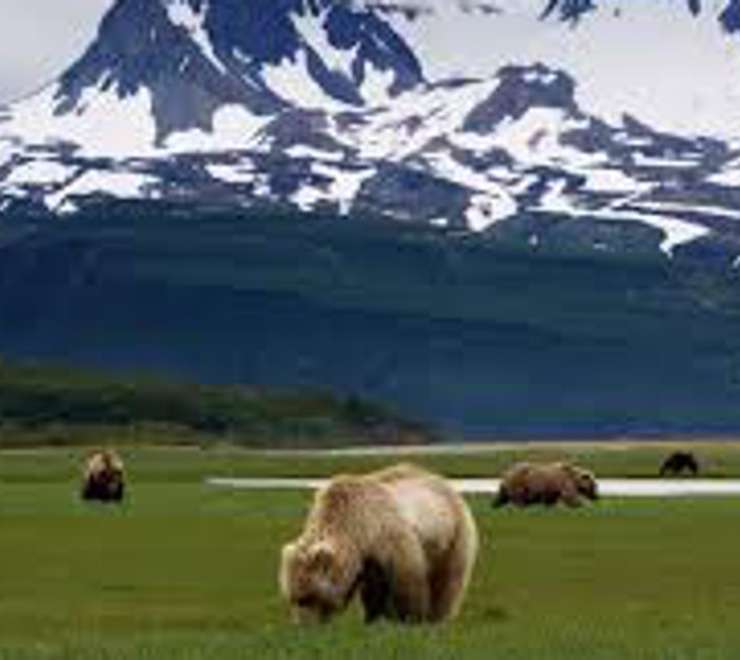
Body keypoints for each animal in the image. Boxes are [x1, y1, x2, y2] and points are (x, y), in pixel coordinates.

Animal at [279, 463, 479, 625]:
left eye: (308, 598)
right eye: (293, 597)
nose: (303, 626)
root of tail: (443, 481)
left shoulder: (389, 537)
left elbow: (407, 578)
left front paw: (410, 618)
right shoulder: (365, 555)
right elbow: (372, 589)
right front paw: (373, 617)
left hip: (452, 535)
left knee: (447, 579)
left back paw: (438, 616)